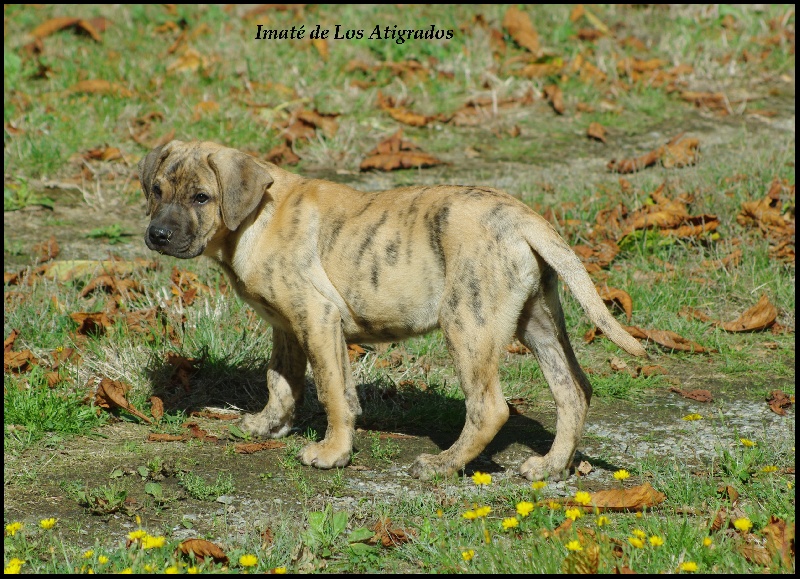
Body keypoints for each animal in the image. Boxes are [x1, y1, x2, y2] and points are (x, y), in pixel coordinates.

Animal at [138, 140, 647, 481]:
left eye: (201, 197)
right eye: (157, 190)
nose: (157, 235)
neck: (255, 217)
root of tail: (521, 216)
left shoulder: (317, 317)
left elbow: (334, 393)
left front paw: (332, 453)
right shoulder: (288, 327)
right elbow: (281, 382)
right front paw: (267, 425)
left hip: (468, 322)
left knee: (490, 407)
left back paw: (443, 464)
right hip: (537, 321)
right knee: (573, 390)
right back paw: (552, 466)